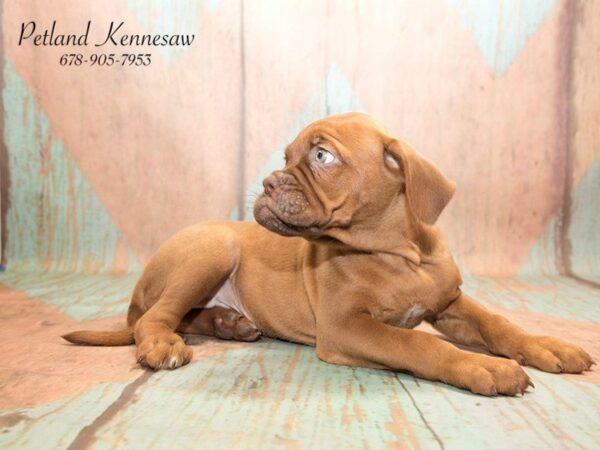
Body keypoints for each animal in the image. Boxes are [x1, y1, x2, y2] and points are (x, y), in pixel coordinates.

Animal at [63, 113, 592, 398]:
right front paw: (481, 366)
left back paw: (228, 324)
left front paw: (547, 345)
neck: (398, 254)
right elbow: (416, 344)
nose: (268, 183)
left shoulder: (449, 303)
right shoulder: (345, 327)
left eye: (322, 156)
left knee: (180, 313)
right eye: (285, 158)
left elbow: (498, 324)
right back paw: (164, 343)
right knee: (156, 318)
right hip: (210, 251)